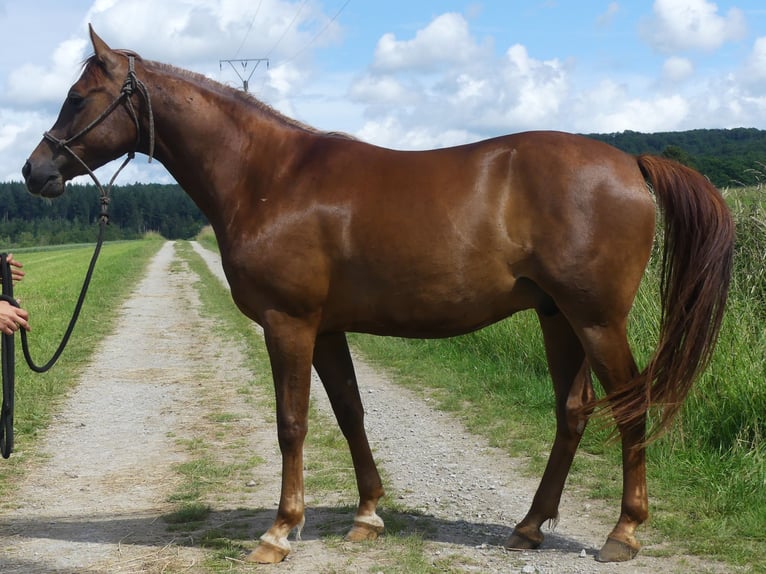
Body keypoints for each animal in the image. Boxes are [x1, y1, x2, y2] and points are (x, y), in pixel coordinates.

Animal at [21, 28, 736, 568]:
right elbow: (350, 413)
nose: (35, 171)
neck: (269, 176)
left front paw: (280, 531)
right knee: (573, 412)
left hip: (596, 319)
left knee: (630, 407)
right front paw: (367, 515)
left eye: (79, 98)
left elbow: (292, 422)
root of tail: (630, 164)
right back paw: (529, 526)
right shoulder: (327, 328)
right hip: (558, 317)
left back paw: (624, 532)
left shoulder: (288, 323)